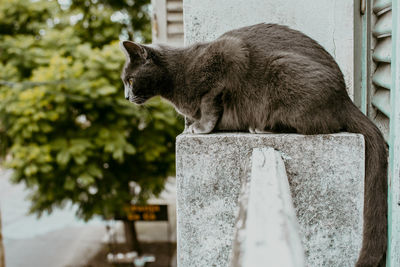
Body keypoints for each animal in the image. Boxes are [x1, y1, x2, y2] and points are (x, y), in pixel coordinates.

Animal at [121, 23, 388, 267]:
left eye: (130, 80)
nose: (125, 96)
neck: (177, 73)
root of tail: (345, 98)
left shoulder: (228, 54)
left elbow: (210, 101)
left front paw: (201, 127)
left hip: (283, 71)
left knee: (317, 124)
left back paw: (261, 127)